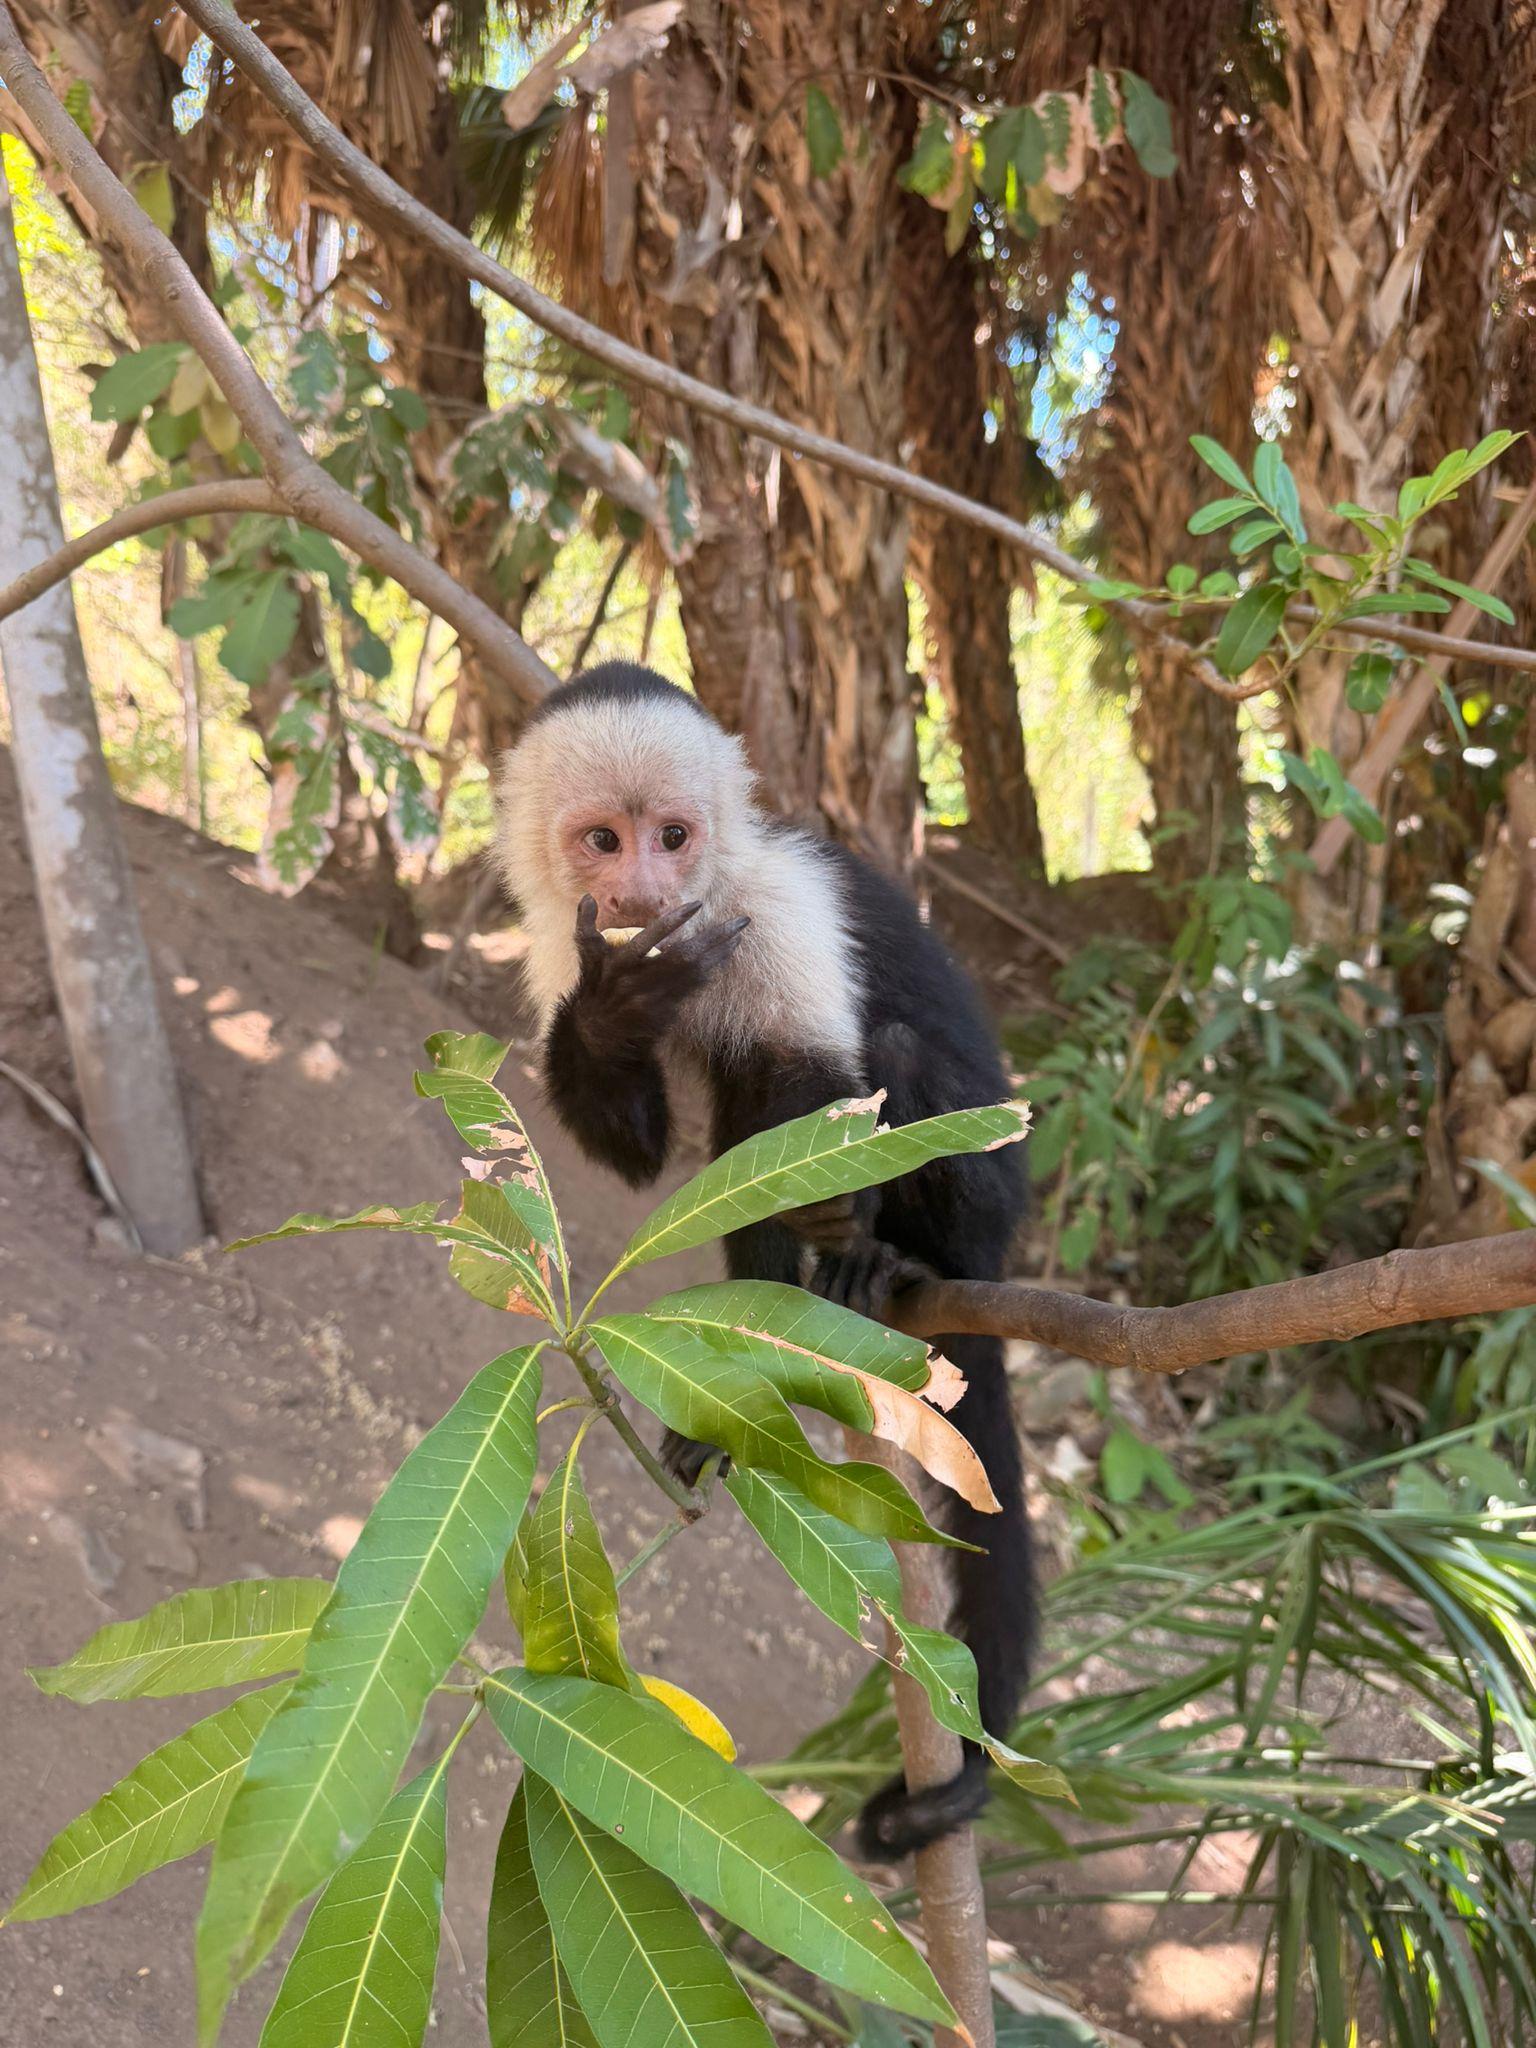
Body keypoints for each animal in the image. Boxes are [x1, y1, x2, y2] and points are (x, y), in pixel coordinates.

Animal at [495, 660, 1032, 1857]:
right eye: (603, 840)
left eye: (673, 835)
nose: (644, 890)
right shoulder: (558, 940)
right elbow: (641, 1145)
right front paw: (621, 1010)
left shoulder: (776, 904)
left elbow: (823, 1082)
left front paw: (846, 1220)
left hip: (989, 1205)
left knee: (881, 1060)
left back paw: (882, 1268)